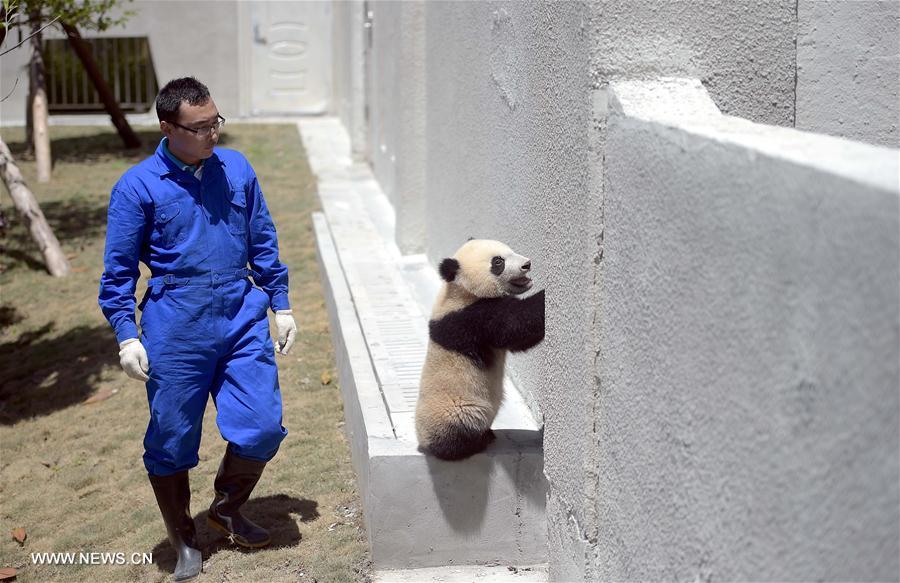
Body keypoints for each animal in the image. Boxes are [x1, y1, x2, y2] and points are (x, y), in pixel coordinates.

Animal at [415, 239, 545, 461]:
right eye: (498, 262)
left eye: (510, 250)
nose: (526, 264)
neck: (459, 289)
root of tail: (423, 441)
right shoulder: (469, 318)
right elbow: (517, 327)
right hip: (456, 408)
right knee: (456, 431)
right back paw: (473, 444)